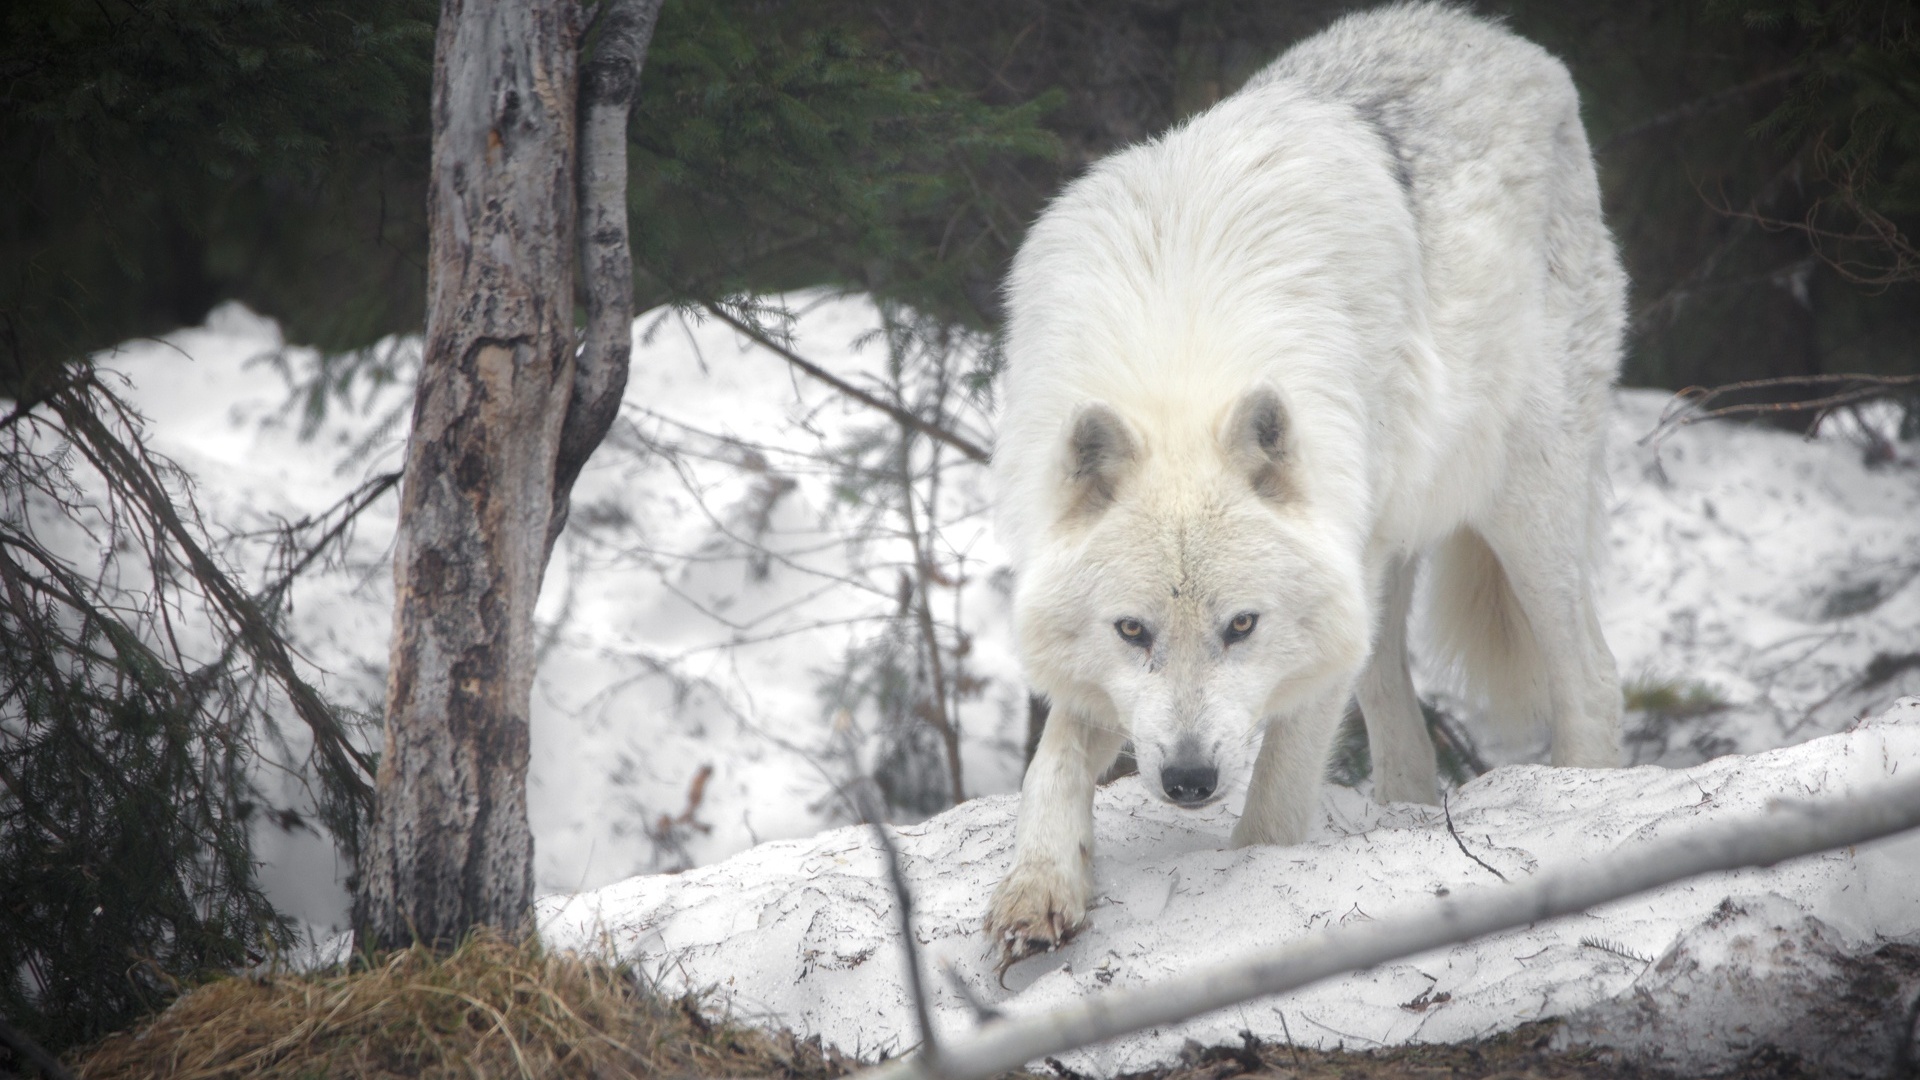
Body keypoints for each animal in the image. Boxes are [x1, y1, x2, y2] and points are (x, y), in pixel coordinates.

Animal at [983, 4, 1628, 960]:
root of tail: (1499, 38)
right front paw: (1039, 889)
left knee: (1591, 674)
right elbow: (1052, 760)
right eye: (1133, 631)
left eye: (1242, 626)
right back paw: (1404, 816)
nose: (1187, 779)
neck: (1182, 365)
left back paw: (1587, 800)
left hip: (1523, 505)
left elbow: (1279, 798)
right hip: (1385, 556)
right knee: (1395, 702)